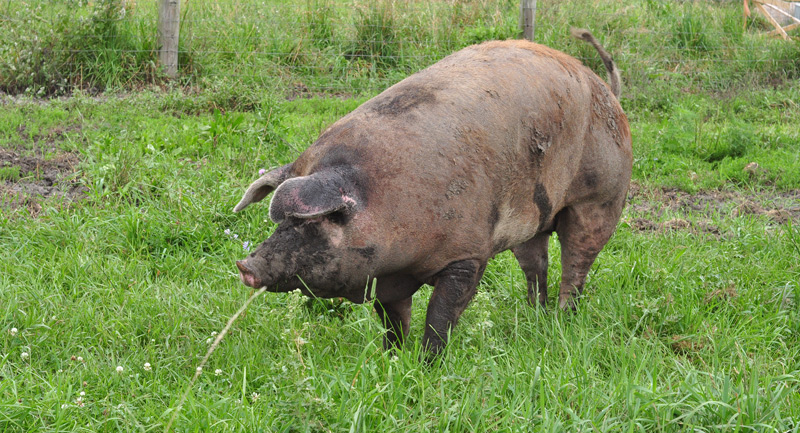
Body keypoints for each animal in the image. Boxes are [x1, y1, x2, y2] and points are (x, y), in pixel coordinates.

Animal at [233, 29, 632, 355]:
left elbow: (441, 314)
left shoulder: (469, 254)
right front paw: (392, 358)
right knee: (536, 263)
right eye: (280, 222)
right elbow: (393, 320)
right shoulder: (387, 279)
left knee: (576, 264)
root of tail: (606, 91)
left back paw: (562, 320)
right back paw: (536, 315)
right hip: (531, 217)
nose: (245, 265)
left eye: (315, 223)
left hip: (599, 200)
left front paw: (428, 364)